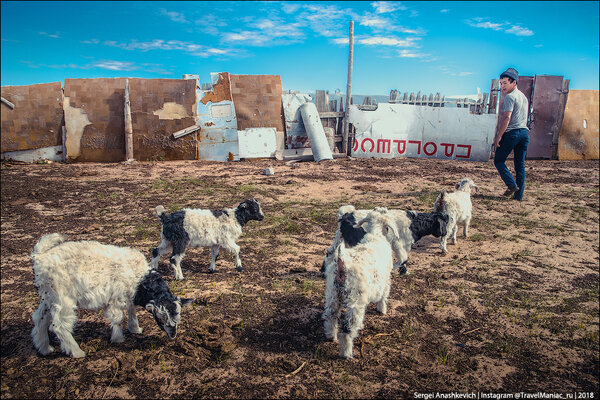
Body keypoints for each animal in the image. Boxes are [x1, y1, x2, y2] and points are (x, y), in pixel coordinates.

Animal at [29, 233, 192, 358]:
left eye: (178, 318)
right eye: (162, 318)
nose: (173, 335)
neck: (139, 277)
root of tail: (40, 257)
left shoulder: (129, 295)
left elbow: (132, 310)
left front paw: (135, 328)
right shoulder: (116, 298)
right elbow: (118, 318)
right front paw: (118, 338)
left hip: (48, 296)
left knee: (39, 318)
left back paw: (44, 348)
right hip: (63, 298)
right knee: (59, 326)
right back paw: (76, 352)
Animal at [324, 209, 398, 360]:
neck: (375, 236)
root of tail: (342, 264)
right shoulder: (386, 280)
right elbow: (383, 296)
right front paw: (382, 310)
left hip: (333, 293)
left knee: (330, 316)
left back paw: (330, 336)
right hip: (355, 301)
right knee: (347, 329)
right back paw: (346, 353)